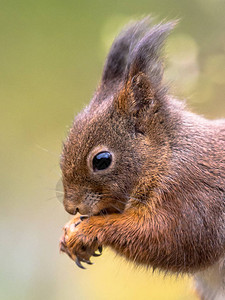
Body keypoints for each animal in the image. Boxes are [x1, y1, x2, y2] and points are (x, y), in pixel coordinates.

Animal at [59, 17, 224, 298]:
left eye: (101, 160)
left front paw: (90, 230)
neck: (166, 157)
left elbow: (171, 241)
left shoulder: (193, 197)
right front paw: (70, 229)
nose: (72, 207)